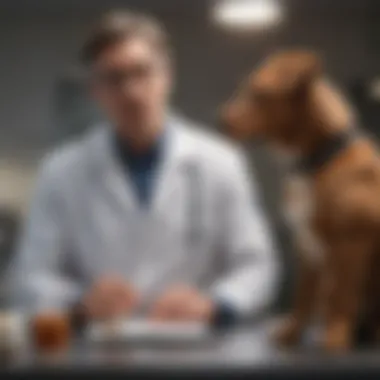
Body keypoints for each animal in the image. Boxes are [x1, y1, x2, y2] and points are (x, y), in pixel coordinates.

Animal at [223, 51, 380, 354]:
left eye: (260, 94)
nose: (219, 120)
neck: (314, 162)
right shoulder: (306, 246)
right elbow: (304, 297)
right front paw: (292, 334)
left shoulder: (352, 243)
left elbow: (342, 296)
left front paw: (335, 336)